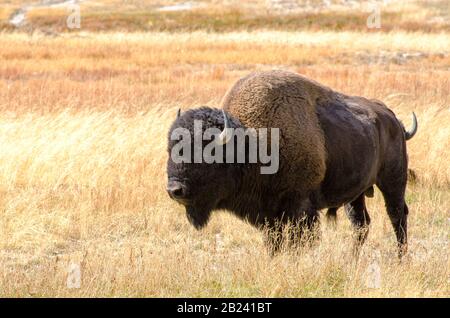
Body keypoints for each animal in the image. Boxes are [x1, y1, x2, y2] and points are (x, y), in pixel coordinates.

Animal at [166, 71, 418, 258]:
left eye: (206, 153)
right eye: (171, 150)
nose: (174, 190)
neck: (251, 141)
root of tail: (394, 120)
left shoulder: (301, 207)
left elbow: (299, 241)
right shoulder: (269, 213)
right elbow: (274, 241)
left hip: (393, 181)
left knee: (397, 215)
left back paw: (401, 259)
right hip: (356, 194)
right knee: (361, 223)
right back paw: (351, 260)